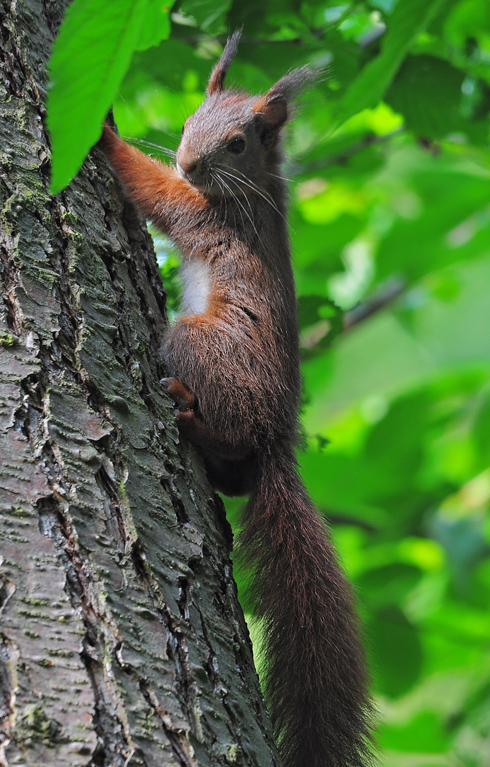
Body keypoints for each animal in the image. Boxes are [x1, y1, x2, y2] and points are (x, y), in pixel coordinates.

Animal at [98, 30, 375, 767]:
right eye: (191, 119)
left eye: (239, 142)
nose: (189, 161)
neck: (256, 187)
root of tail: (278, 437)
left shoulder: (208, 214)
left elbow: (156, 192)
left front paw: (103, 134)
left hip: (199, 344)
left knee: (226, 432)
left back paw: (191, 418)